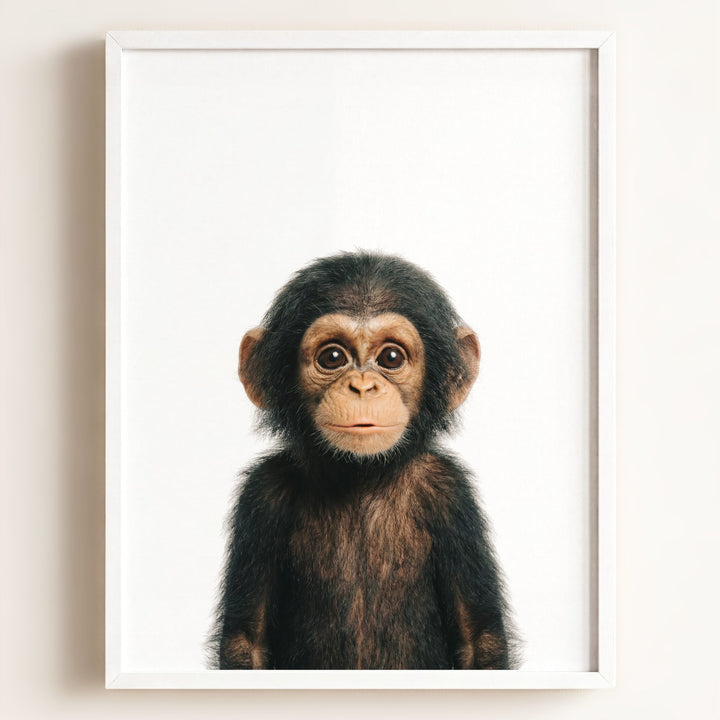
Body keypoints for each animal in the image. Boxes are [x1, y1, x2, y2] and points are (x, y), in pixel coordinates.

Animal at [211, 251, 519, 670]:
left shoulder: (451, 493)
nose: (362, 386)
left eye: (391, 357)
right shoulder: (261, 494)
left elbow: (479, 640)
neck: (361, 476)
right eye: (332, 357)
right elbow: (246, 641)